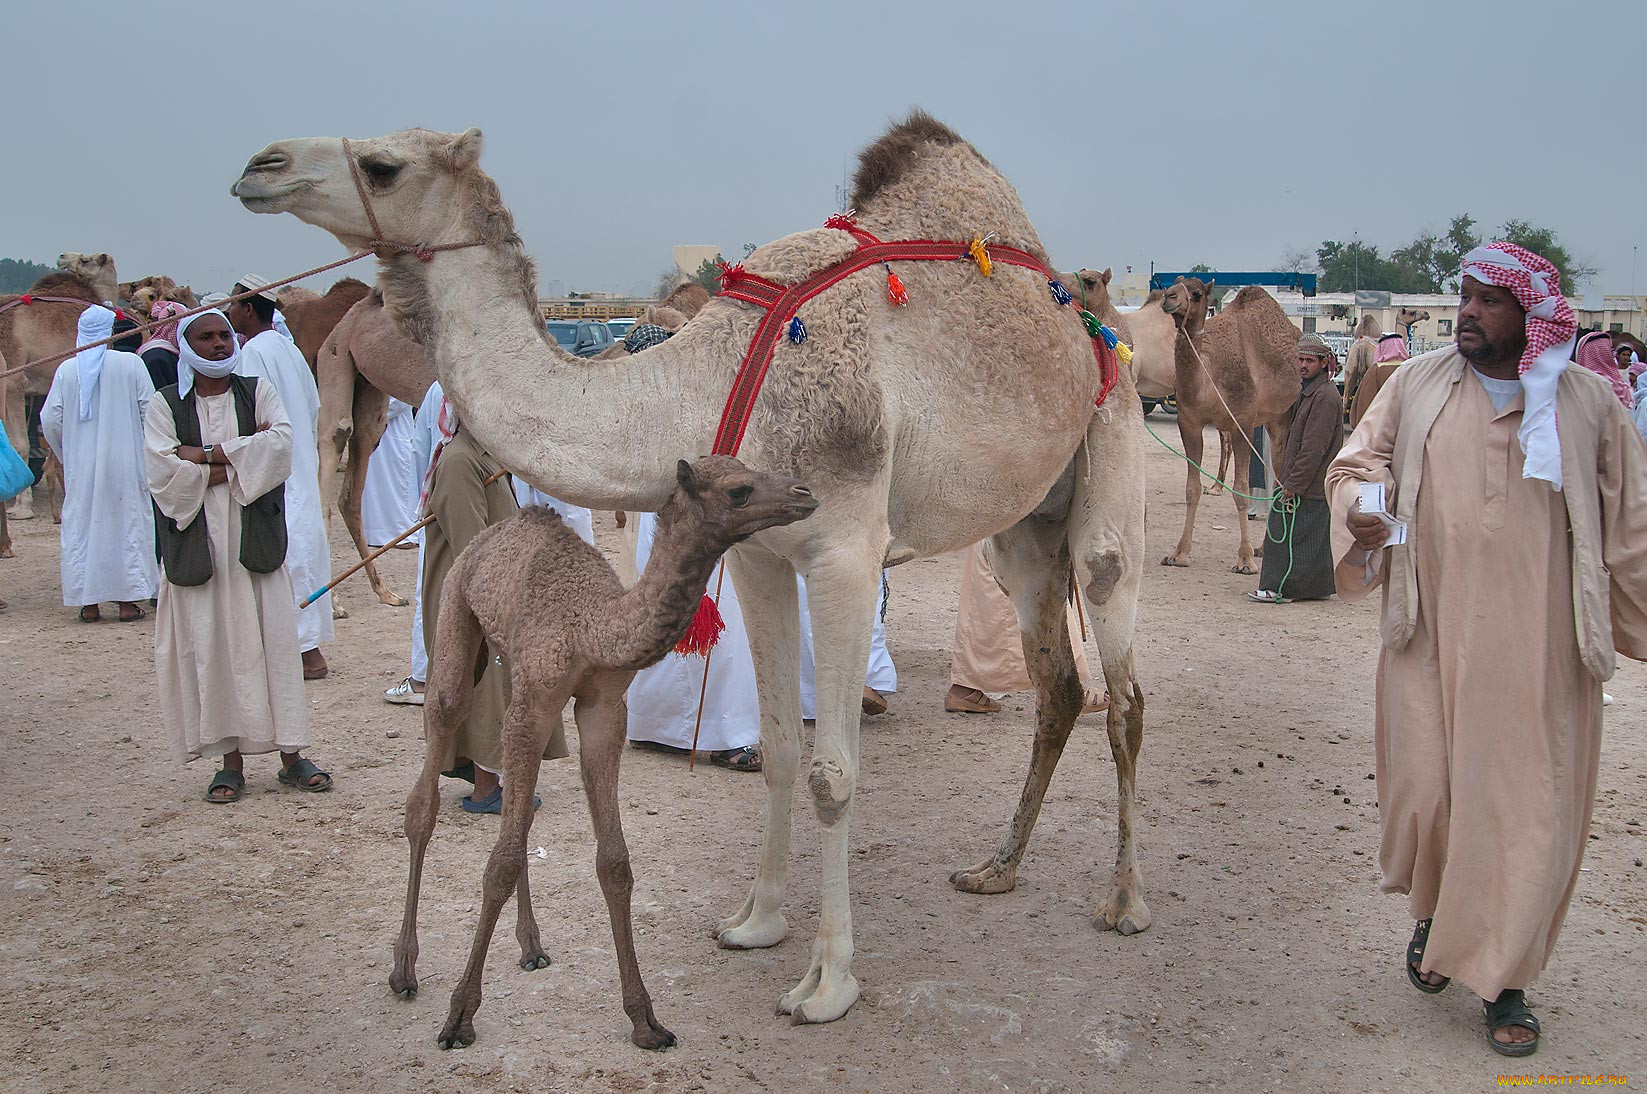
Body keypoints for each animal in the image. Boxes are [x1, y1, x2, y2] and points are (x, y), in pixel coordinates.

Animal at [391, 454, 816, 1054]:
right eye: (739, 490)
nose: (805, 493)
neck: (592, 629)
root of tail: (490, 537)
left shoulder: (603, 709)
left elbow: (612, 862)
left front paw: (646, 1020)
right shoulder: (538, 703)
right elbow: (500, 862)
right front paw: (459, 1018)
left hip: (511, 666)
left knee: (515, 806)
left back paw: (531, 946)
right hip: (456, 613)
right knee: (427, 788)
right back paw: (404, 970)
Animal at [1159, 275, 1297, 573]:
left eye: (1197, 294)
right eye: (1174, 283)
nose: (1169, 297)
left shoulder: (1242, 422)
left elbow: (1242, 491)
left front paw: (1244, 559)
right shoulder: (1189, 422)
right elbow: (1192, 489)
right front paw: (1179, 554)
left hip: (1284, 415)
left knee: (1279, 478)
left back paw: (1262, 549)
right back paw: (1263, 548)